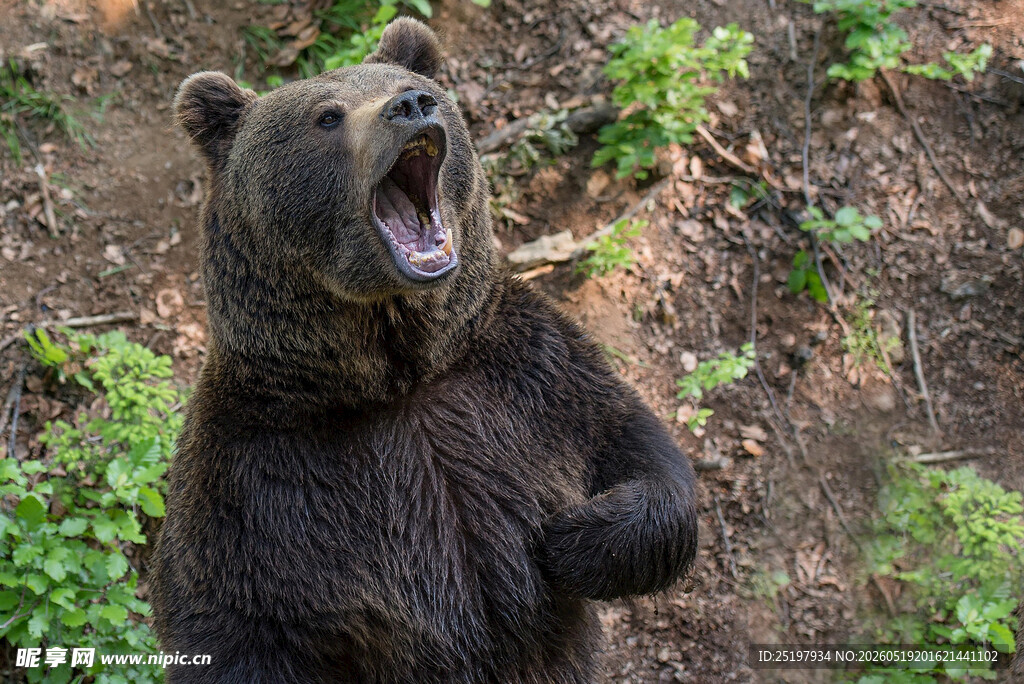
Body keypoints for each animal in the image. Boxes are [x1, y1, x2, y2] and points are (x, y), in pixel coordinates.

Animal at [151, 18, 698, 684]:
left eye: (414, 86)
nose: (411, 105)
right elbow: (230, 628)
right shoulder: (256, 484)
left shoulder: (530, 376)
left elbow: (641, 453)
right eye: (327, 116)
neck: (400, 374)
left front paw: (571, 539)